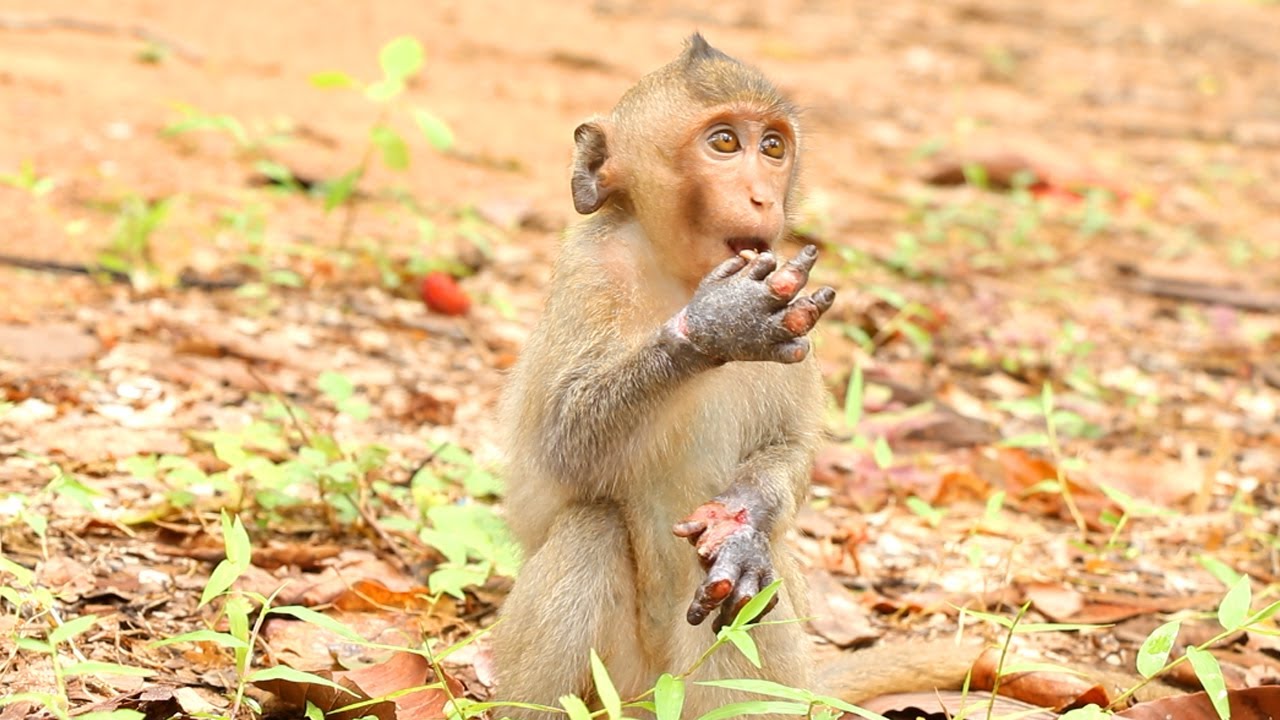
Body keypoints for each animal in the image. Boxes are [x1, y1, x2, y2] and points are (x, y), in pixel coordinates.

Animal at [492, 34, 978, 719]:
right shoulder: (591, 273)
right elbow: (563, 443)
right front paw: (721, 323)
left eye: (772, 147)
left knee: (747, 595)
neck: (678, 273)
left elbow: (786, 449)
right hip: (621, 679)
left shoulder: (795, 304)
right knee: (593, 527)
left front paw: (743, 528)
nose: (761, 197)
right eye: (724, 143)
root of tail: (651, 698)